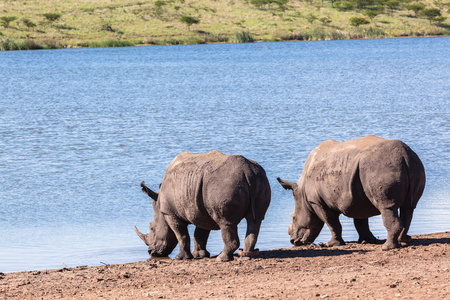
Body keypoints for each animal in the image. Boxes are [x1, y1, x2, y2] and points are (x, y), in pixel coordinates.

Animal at [134, 151, 270, 262]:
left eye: (152, 228)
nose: (151, 252)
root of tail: (246, 170)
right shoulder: (200, 210)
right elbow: (200, 233)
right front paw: (200, 255)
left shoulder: (170, 213)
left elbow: (181, 235)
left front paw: (181, 258)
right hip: (259, 177)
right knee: (255, 220)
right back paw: (247, 256)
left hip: (225, 183)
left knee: (226, 222)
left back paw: (221, 259)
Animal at [278, 136, 426, 251]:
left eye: (293, 218)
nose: (293, 241)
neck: (302, 194)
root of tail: (404, 155)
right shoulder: (357, 198)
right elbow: (360, 220)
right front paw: (367, 240)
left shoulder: (318, 202)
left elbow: (331, 222)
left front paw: (332, 244)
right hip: (414, 164)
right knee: (408, 208)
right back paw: (403, 242)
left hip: (380, 166)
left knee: (387, 207)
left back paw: (387, 247)